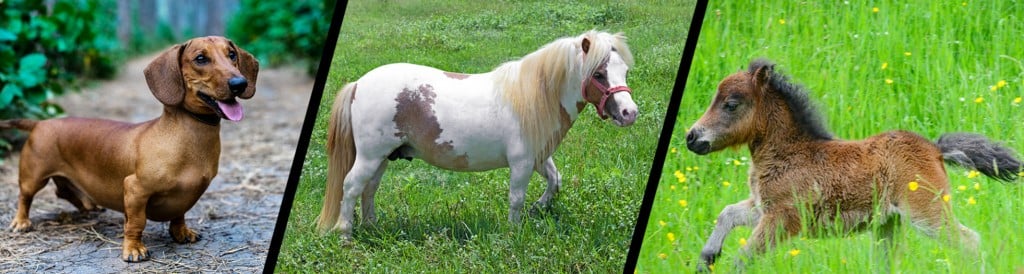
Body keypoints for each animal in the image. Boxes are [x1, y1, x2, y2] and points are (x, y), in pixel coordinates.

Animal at [315, 31, 634, 238]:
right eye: (598, 74)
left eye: (625, 71)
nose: (630, 112)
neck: (534, 97)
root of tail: (358, 84)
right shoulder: (521, 162)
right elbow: (516, 198)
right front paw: (514, 233)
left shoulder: (539, 158)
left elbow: (555, 181)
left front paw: (538, 209)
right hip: (370, 156)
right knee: (351, 186)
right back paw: (346, 235)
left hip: (383, 157)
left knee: (369, 189)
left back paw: (371, 227)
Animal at [684, 58, 1019, 269]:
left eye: (731, 104)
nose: (691, 137)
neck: (790, 152)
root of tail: (935, 149)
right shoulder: (763, 208)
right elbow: (727, 214)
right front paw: (706, 259)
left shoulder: (782, 218)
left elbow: (743, 258)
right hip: (889, 224)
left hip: (927, 214)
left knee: (969, 241)